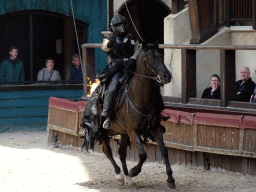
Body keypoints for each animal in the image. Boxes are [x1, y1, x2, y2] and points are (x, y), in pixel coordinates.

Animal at [84, 41, 176, 190]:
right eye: (149, 59)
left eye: (161, 57)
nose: (166, 76)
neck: (141, 97)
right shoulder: (133, 131)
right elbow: (143, 154)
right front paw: (134, 171)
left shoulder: (154, 128)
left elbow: (164, 150)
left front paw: (170, 179)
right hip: (102, 131)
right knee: (108, 151)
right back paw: (120, 176)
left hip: (122, 132)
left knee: (121, 153)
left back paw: (128, 178)